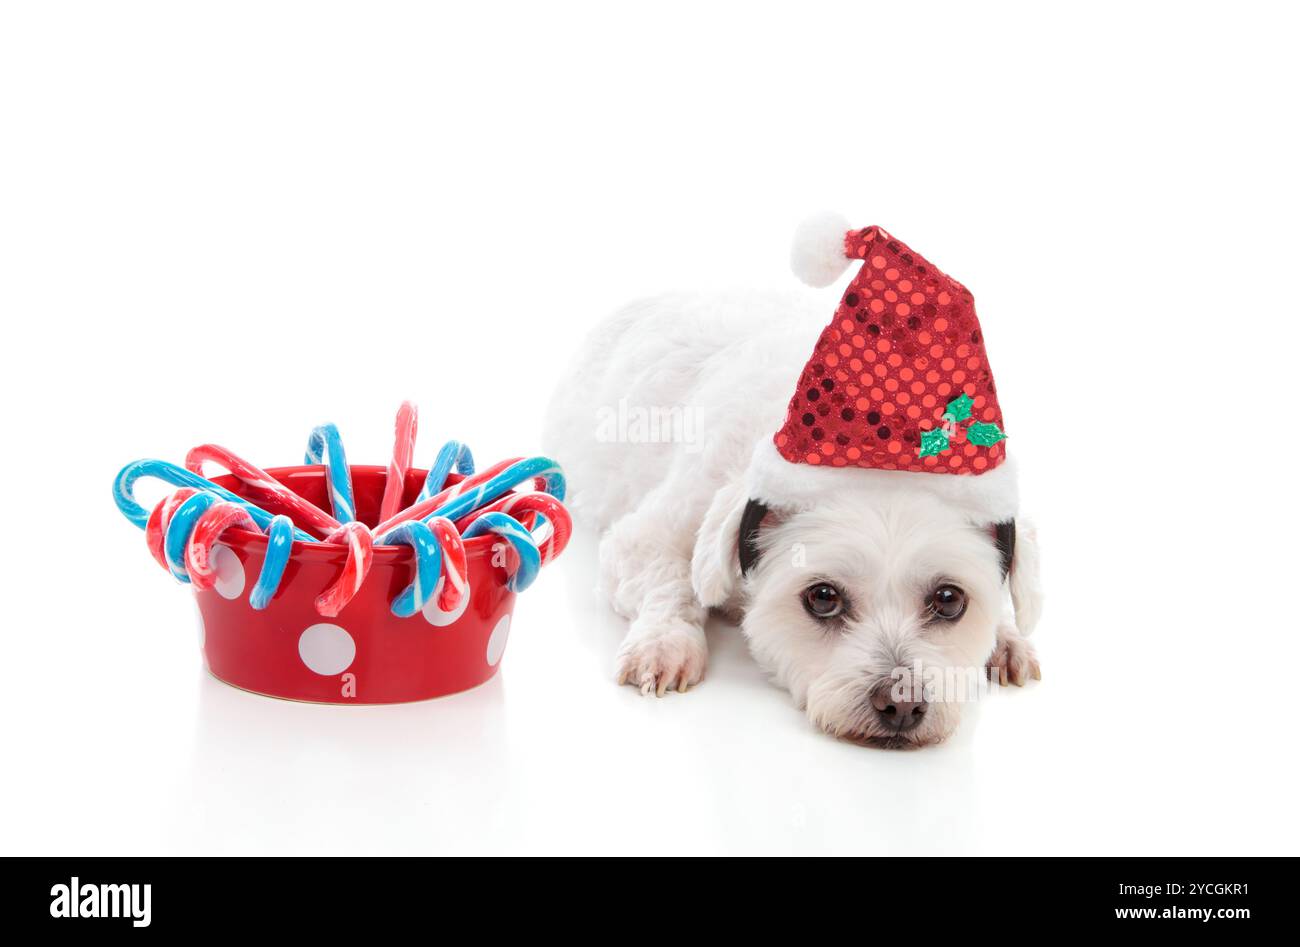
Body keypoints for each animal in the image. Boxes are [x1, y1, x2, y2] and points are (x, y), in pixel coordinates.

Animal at [543, 222, 1040, 749]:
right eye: (823, 598)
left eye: (949, 600)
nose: (902, 703)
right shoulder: (645, 536)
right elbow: (672, 580)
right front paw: (665, 641)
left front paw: (1005, 636)